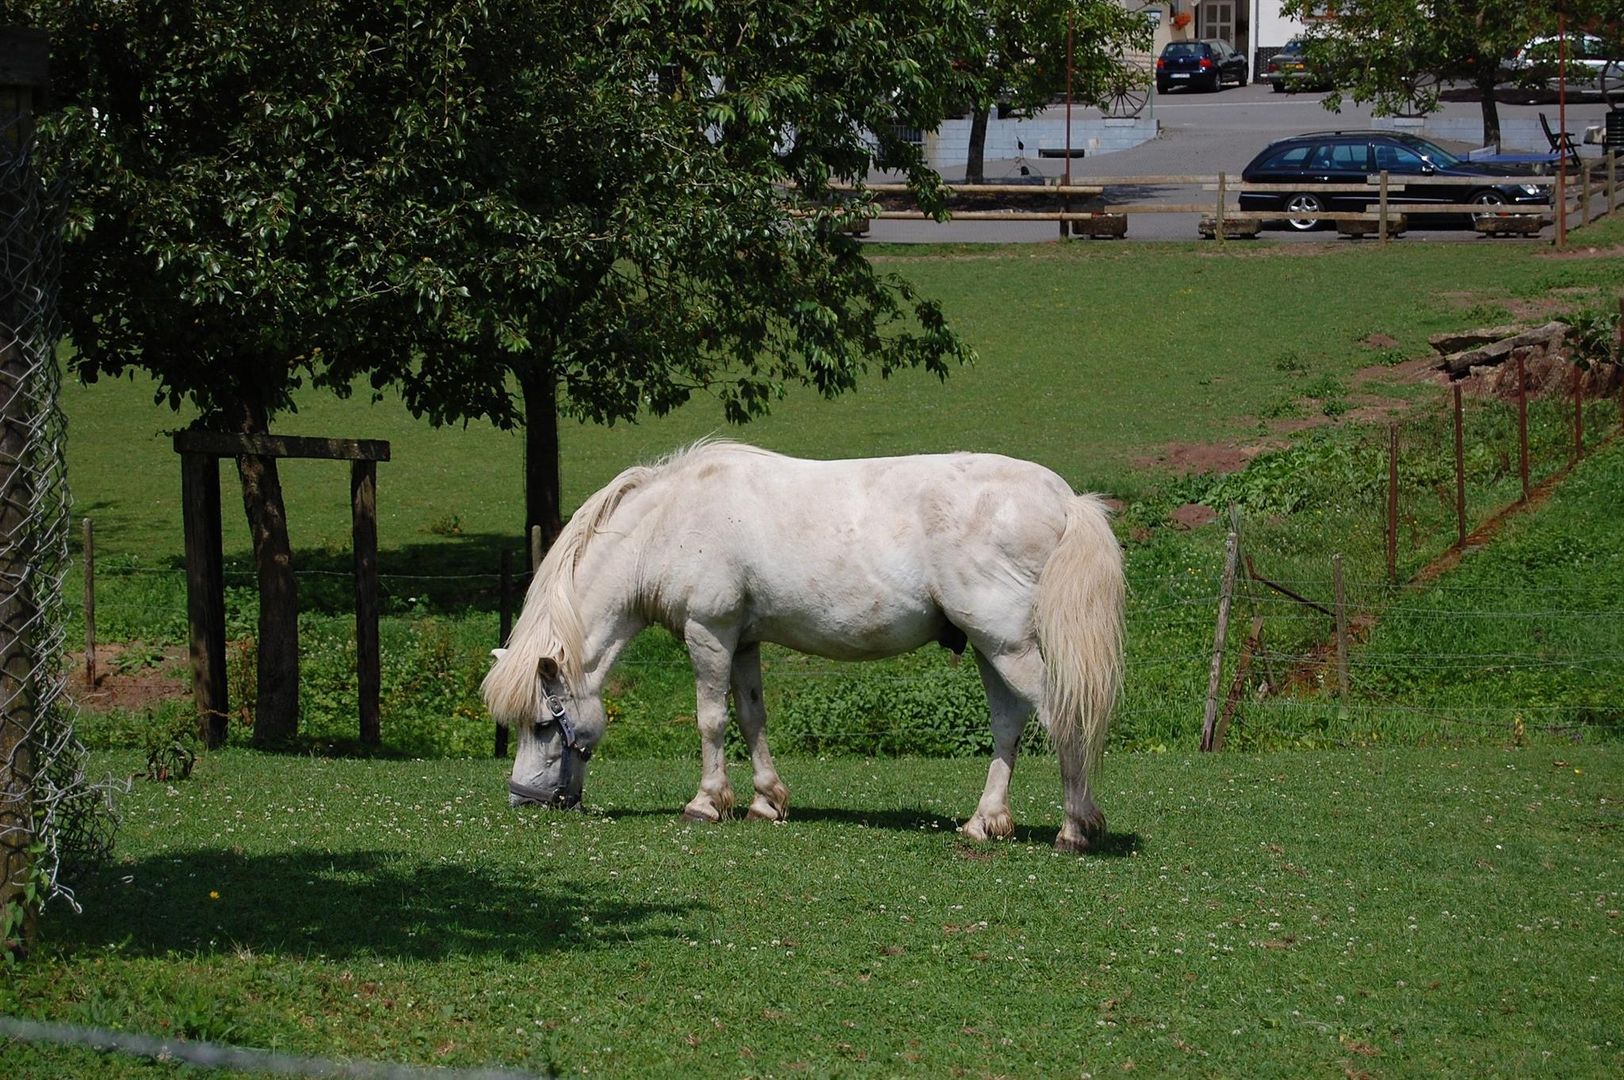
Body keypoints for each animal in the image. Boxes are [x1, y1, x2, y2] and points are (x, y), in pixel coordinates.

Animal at [482, 441, 1125, 852]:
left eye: (542, 724)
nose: (523, 800)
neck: (668, 523)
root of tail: (1064, 499)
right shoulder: (742, 641)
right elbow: (751, 717)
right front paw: (766, 802)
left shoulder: (708, 632)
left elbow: (712, 719)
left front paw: (706, 803)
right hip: (993, 647)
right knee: (1008, 722)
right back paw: (985, 821)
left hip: (1007, 644)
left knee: (1057, 716)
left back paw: (1075, 829)